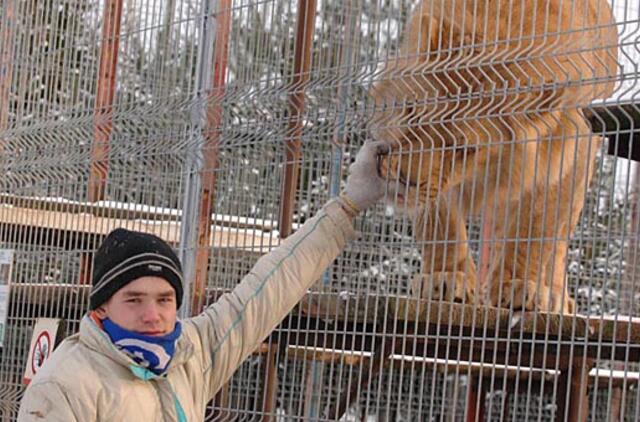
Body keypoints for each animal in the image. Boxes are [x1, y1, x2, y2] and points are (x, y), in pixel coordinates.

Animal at [370, 0, 620, 312]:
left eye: (463, 149)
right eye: (412, 112)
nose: (403, 179)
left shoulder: (568, 156)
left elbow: (535, 226)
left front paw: (520, 284)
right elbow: (441, 222)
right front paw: (445, 277)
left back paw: (555, 297)